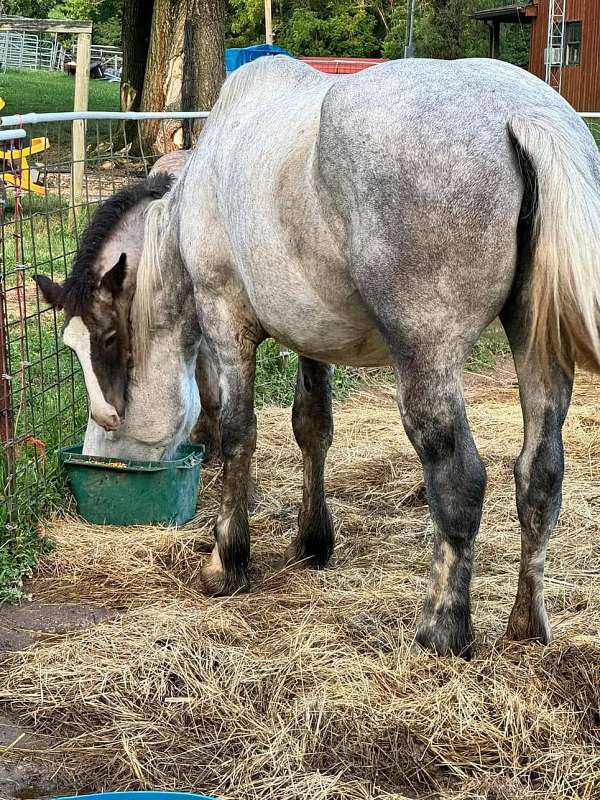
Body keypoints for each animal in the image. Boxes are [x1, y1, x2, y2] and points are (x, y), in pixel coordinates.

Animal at [35, 54, 600, 656]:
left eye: (107, 340)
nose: (101, 437)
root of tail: (521, 114)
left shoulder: (224, 318)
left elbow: (237, 433)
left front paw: (227, 561)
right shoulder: (313, 338)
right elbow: (313, 428)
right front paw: (312, 541)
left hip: (427, 360)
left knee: (459, 479)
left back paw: (441, 630)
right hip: (537, 350)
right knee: (540, 474)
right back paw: (526, 626)